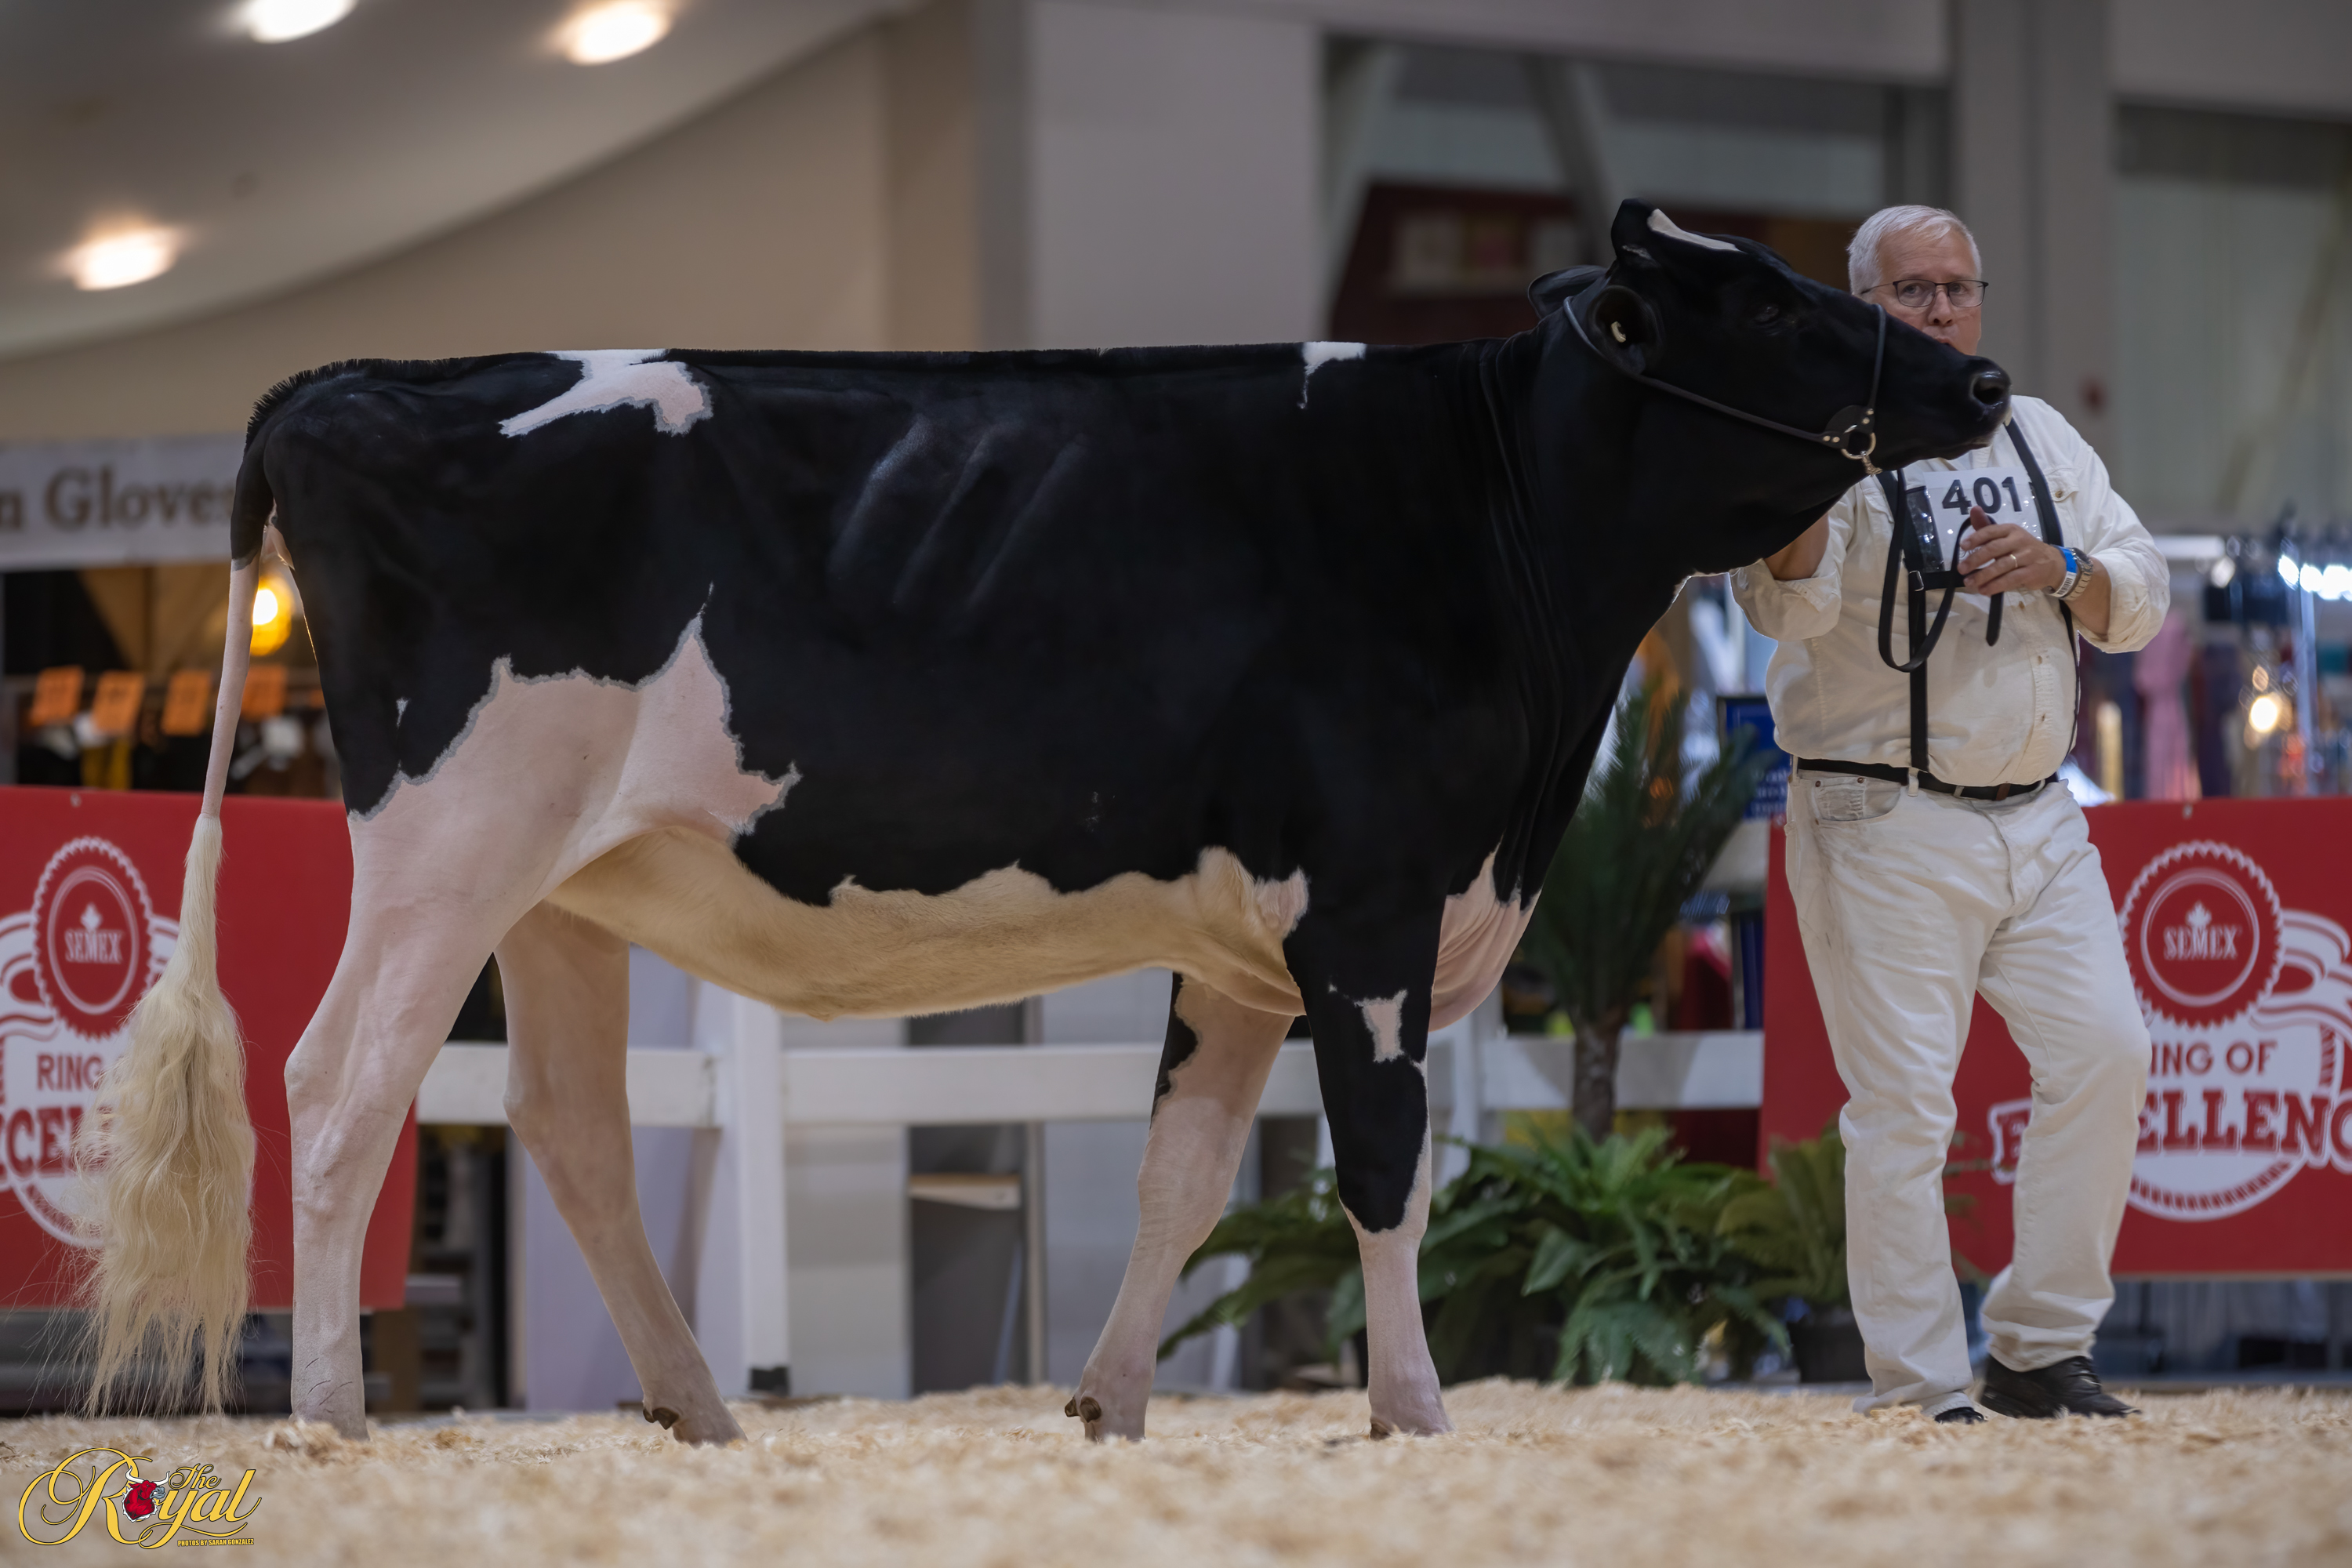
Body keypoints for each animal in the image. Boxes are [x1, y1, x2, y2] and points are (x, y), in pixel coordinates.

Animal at [83, 200, 2009, 1444]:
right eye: (1774, 308)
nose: (1983, 386)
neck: (1496, 515)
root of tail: (351, 381)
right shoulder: (1374, 903)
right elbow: (1384, 1162)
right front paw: (1411, 1407)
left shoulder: (1247, 942)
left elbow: (1180, 1174)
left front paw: (1109, 1403)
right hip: (449, 843)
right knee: (340, 1087)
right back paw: (333, 1421)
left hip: (562, 885)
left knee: (567, 1123)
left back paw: (697, 1411)